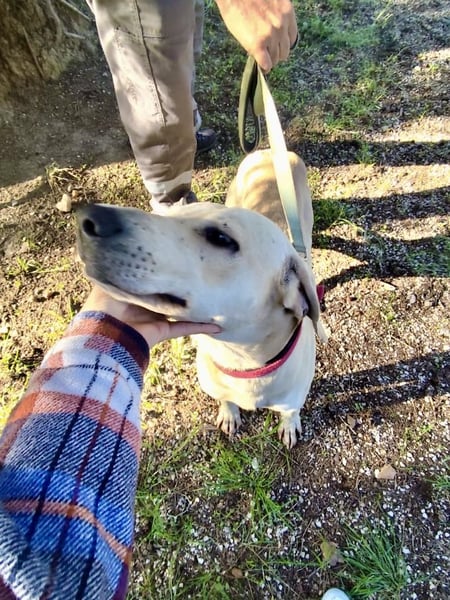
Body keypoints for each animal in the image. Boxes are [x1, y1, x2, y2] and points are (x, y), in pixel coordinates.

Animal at [76, 150, 327, 448]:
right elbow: (225, 401)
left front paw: (289, 427)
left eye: (220, 237)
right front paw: (229, 414)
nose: (89, 217)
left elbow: (290, 414)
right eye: (170, 214)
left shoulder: (291, 402)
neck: (242, 364)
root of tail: (268, 151)